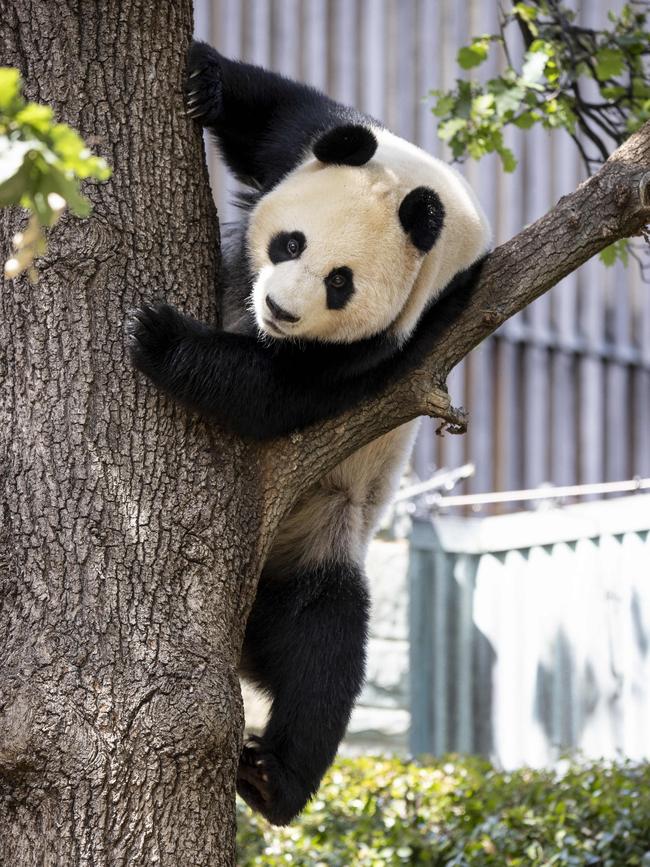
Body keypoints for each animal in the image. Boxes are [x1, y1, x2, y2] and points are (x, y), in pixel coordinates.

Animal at [126, 42, 488, 828]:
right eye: (290, 242)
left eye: (340, 283)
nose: (280, 311)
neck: (438, 208)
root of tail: (239, 639)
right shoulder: (323, 140)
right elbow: (274, 116)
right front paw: (204, 79)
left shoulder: (416, 328)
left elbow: (279, 391)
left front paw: (158, 337)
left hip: (318, 541)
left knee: (323, 648)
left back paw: (275, 779)